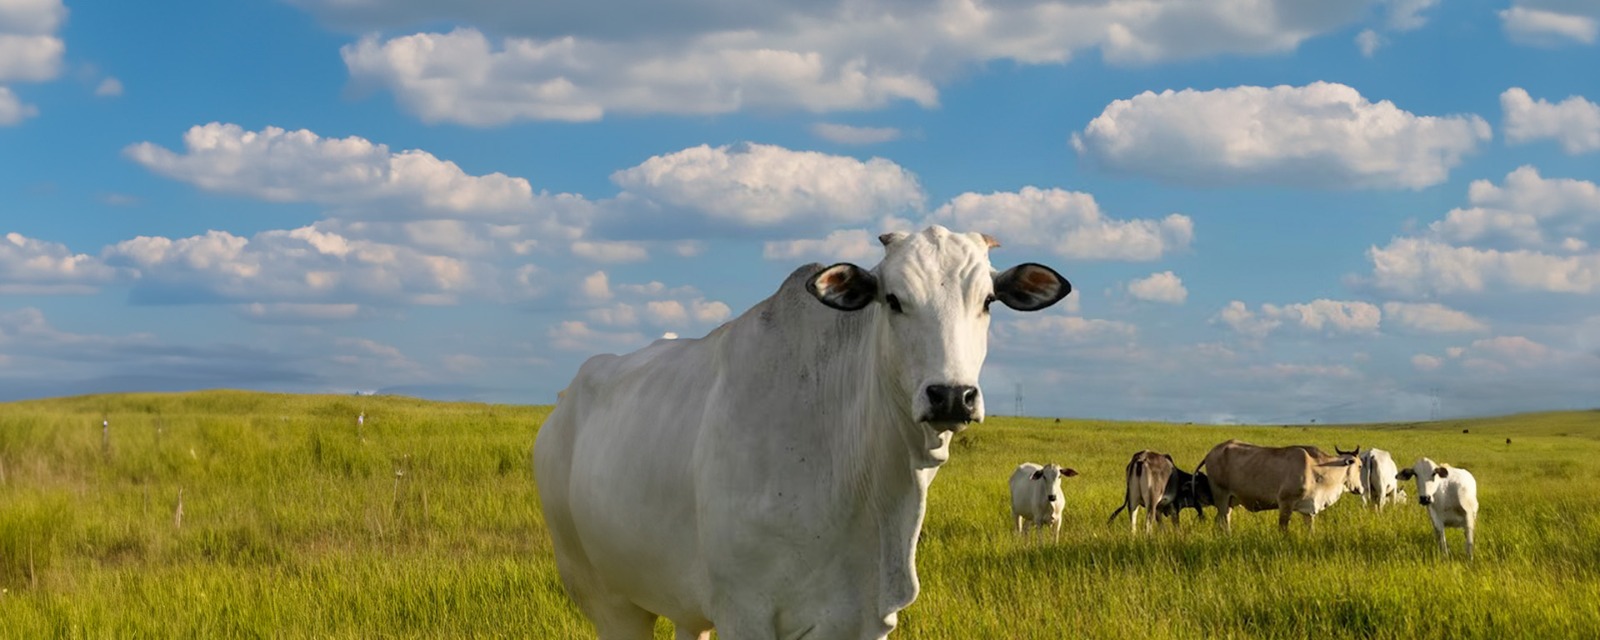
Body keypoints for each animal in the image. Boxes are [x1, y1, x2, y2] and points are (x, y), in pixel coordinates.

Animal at [537, 225, 1075, 640]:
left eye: (987, 301)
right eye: (893, 300)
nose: (951, 395)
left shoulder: (864, 618)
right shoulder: (745, 612)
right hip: (604, 596)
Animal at [1203, 441, 1363, 534]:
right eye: (1361, 466)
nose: (1360, 489)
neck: (1317, 468)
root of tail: (1212, 451)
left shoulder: (1308, 509)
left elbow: (1310, 530)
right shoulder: (1286, 503)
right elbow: (1283, 529)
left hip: (1229, 501)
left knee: (1220, 520)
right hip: (1221, 497)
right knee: (1223, 520)